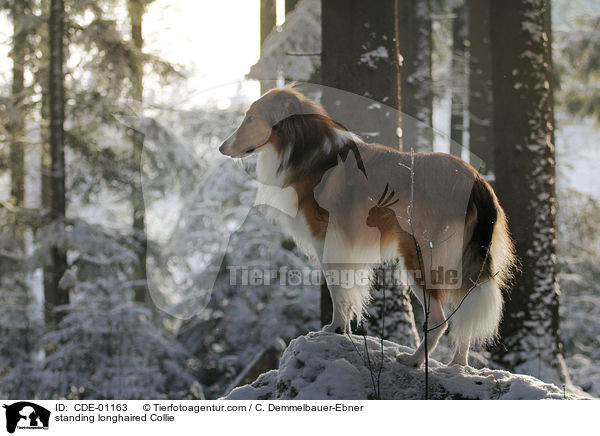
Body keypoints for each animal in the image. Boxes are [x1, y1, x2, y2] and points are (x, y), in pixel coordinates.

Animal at [220, 86, 516, 368]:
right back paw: (457, 365)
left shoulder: (329, 241)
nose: (222, 148)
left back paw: (414, 360)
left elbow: (338, 290)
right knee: (464, 312)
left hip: (420, 258)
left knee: (440, 318)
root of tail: (477, 183)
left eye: (251, 118)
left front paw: (336, 329)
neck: (308, 150)